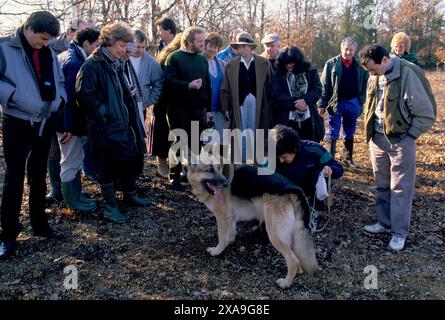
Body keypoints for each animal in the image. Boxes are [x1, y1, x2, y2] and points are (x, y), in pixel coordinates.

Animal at [187, 164, 320, 288]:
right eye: (209, 170)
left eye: (218, 168)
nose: (226, 184)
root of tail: (294, 188)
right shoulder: (230, 217)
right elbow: (230, 232)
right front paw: (229, 241)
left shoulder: (222, 217)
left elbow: (221, 237)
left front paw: (217, 251)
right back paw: (297, 273)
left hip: (274, 234)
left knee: (293, 261)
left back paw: (286, 283)